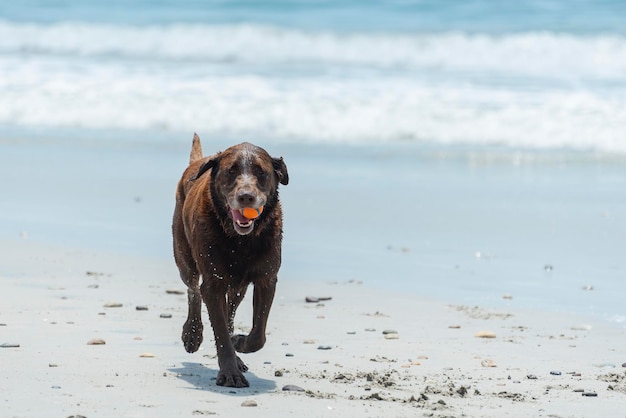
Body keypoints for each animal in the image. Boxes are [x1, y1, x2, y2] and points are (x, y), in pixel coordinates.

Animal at [171, 132, 288, 386]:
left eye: (261, 171)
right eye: (231, 171)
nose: (246, 196)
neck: (241, 240)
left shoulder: (267, 278)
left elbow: (258, 334)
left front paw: (240, 344)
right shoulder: (214, 284)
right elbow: (221, 331)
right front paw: (230, 372)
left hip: (238, 286)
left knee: (231, 310)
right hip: (184, 257)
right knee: (193, 289)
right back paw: (192, 334)